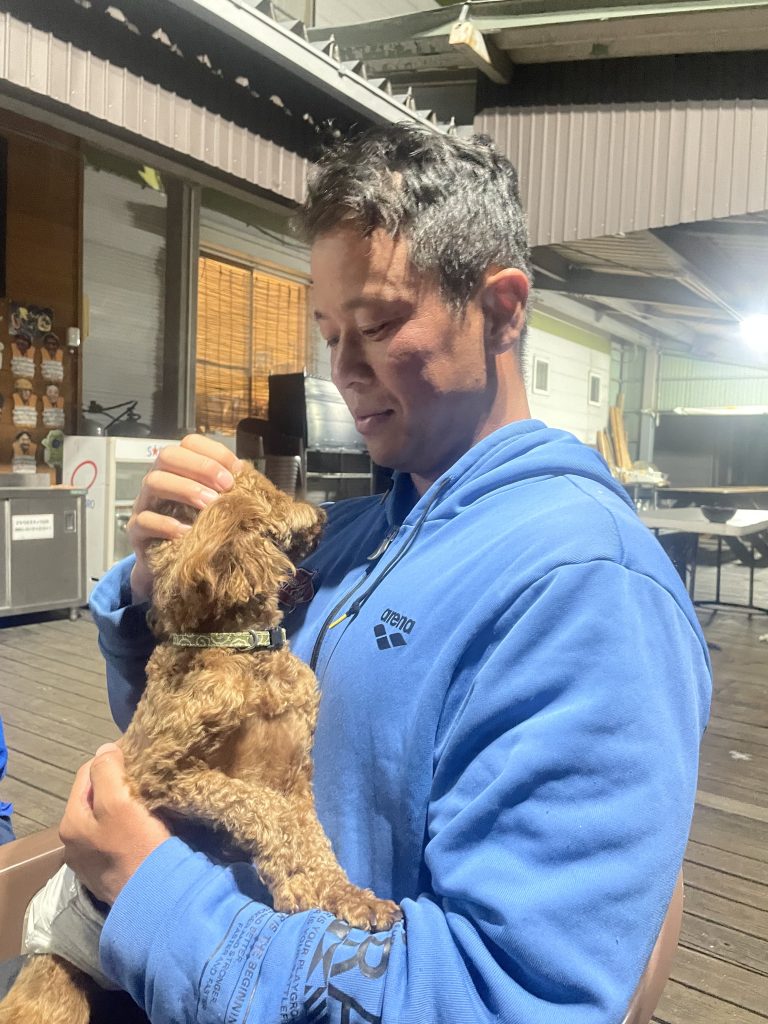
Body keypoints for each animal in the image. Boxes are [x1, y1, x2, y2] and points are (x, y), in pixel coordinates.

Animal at [0, 467, 400, 1024]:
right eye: (272, 491)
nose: (322, 515)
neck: (240, 651)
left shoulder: (294, 774)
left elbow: (311, 839)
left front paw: (345, 897)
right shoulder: (156, 772)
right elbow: (261, 809)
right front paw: (302, 890)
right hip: (53, 993)